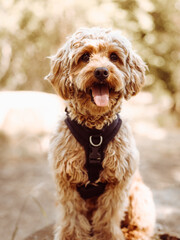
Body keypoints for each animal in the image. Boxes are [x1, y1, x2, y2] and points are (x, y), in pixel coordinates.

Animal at [45, 27, 156, 239]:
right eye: (85, 57)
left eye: (114, 57)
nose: (102, 71)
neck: (94, 133)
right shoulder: (67, 181)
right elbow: (72, 217)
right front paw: (71, 236)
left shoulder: (117, 182)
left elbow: (107, 216)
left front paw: (108, 235)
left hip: (139, 195)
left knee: (139, 226)